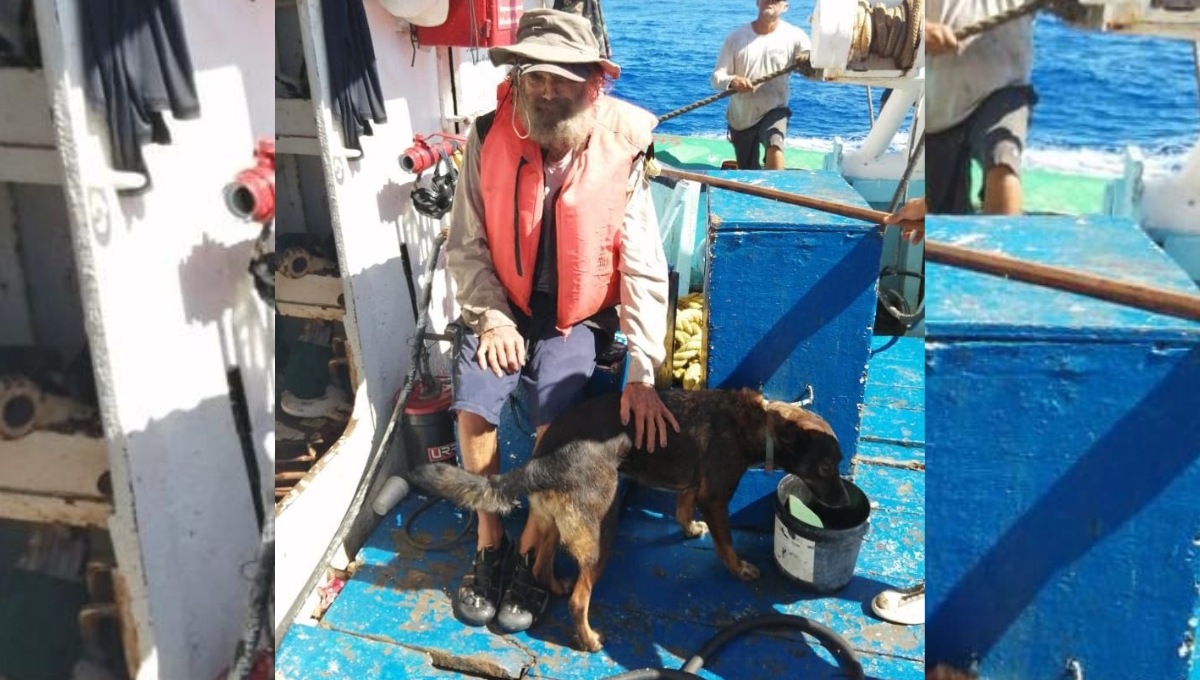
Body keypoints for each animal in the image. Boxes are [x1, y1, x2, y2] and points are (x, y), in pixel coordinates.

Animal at [410, 388, 844, 647]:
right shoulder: (715, 496)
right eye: (826, 468)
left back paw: (556, 585)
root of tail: (542, 461)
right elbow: (725, 543)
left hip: (552, 523)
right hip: (601, 534)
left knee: (541, 565)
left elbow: (683, 507)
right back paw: (588, 639)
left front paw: (689, 528)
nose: (840, 503)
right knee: (579, 599)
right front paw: (740, 569)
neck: (759, 423)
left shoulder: (691, 485)